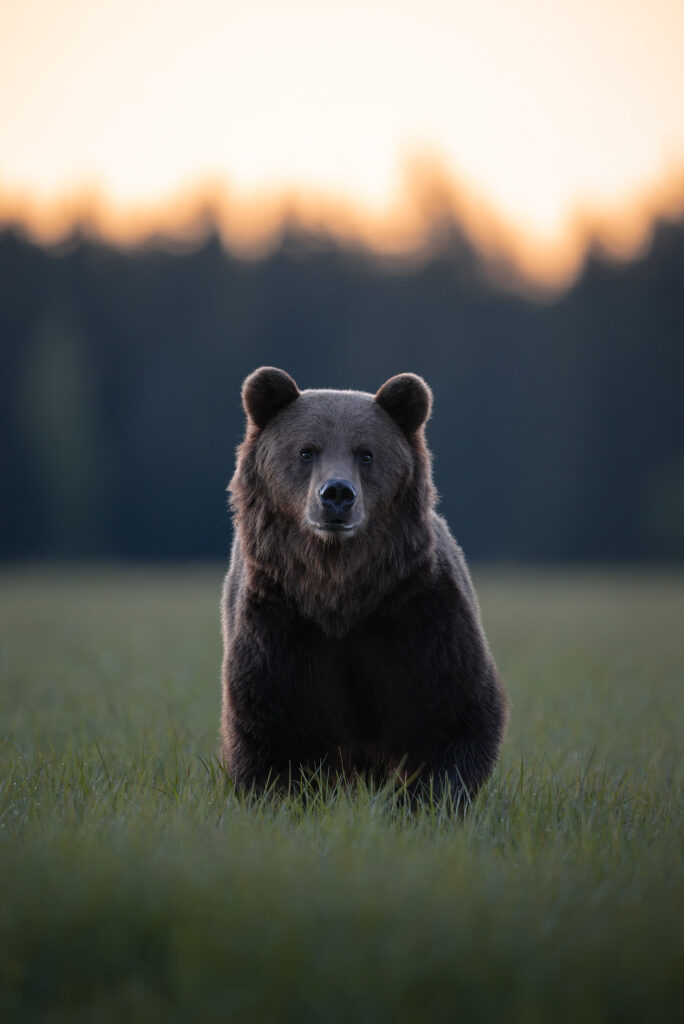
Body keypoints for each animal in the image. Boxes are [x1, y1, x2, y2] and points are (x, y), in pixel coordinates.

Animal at [221, 366, 508, 805]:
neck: (340, 594)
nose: (337, 494)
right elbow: (270, 728)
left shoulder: (416, 617)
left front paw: (431, 797)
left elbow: (454, 713)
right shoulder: (280, 626)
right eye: (307, 451)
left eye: (366, 453)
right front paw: (279, 795)